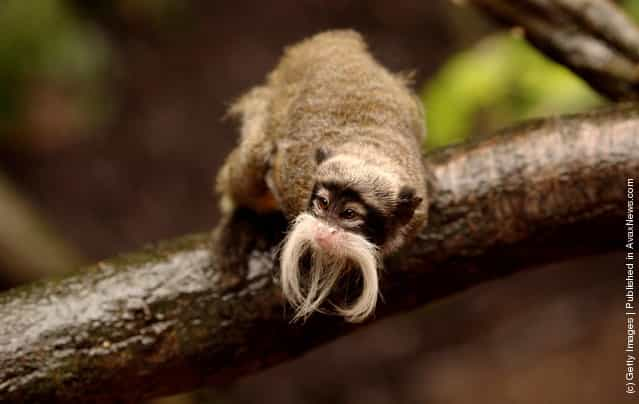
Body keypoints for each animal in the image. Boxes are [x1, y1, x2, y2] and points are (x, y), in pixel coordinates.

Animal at [216, 30, 430, 324]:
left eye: (349, 214)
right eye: (323, 203)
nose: (324, 231)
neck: (367, 150)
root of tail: (331, 40)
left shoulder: (417, 214)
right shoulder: (292, 181)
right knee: (253, 160)